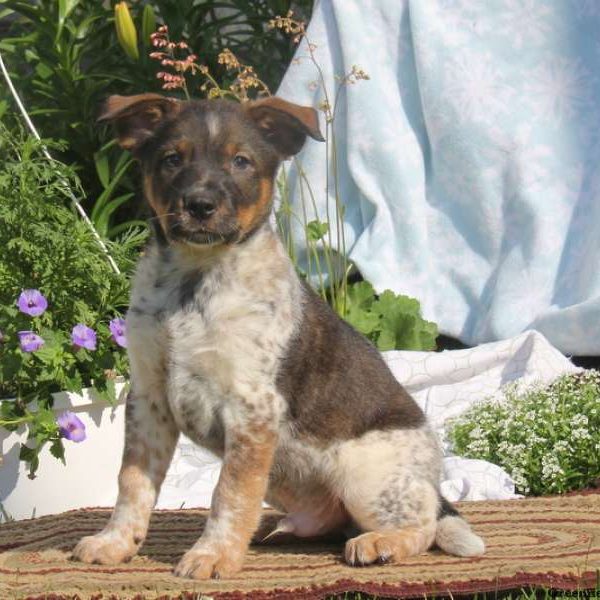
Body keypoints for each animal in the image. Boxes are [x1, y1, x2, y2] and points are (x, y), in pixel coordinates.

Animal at [72, 92, 482, 576]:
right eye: (172, 159)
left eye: (241, 161)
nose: (200, 205)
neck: (194, 282)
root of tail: (434, 484)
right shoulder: (149, 398)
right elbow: (132, 481)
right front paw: (115, 542)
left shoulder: (252, 407)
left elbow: (229, 491)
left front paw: (214, 554)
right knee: (332, 520)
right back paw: (277, 528)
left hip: (363, 474)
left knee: (424, 525)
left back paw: (380, 542)